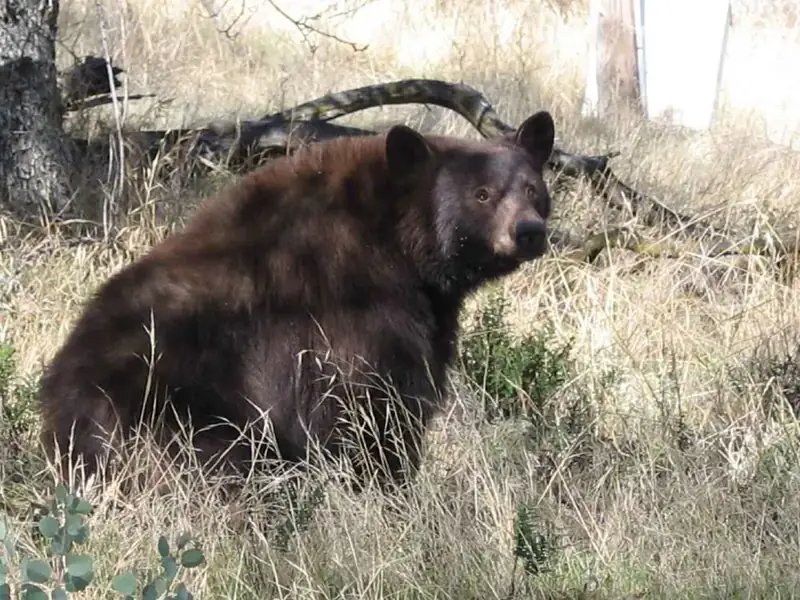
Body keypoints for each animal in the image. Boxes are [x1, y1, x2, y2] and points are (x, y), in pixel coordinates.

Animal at [37, 110, 556, 493]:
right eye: (482, 194)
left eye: (534, 189)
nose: (529, 231)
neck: (398, 245)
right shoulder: (356, 320)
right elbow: (373, 414)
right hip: (181, 416)